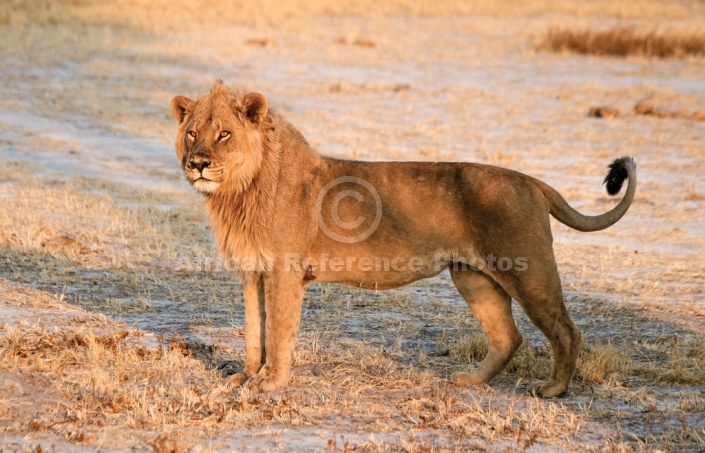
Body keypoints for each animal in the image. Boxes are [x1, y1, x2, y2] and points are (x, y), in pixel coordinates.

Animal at [172, 80, 640, 396]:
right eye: (193, 133)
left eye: (224, 134)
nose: (197, 163)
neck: (240, 191)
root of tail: (532, 181)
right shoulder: (253, 272)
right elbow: (254, 330)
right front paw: (247, 374)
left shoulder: (285, 273)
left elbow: (278, 331)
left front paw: (270, 384)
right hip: (472, 276)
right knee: (509, 336)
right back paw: (471, 381)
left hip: (529, 272)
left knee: (566, 330)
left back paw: (553, 390)